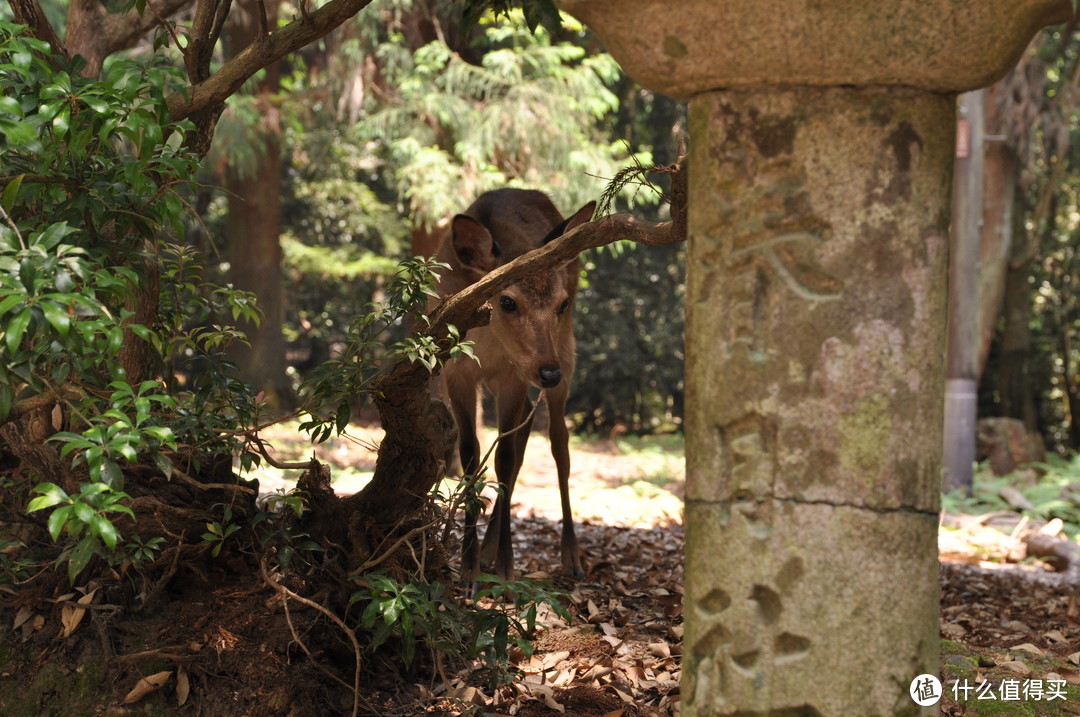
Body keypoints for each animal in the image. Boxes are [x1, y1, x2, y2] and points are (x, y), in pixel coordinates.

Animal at [432, 188, 600, 583]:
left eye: (561, 303)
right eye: (507, 300)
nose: (549, 373)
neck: (486, 345)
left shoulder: (512, 376)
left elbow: (505, 458)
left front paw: (506, 566)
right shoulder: (457, 373)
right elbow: (471, 455)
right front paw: (468, 564)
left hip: (565, 352)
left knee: (558, 442)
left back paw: (571, 555)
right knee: (524, 433)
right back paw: (487, 550)